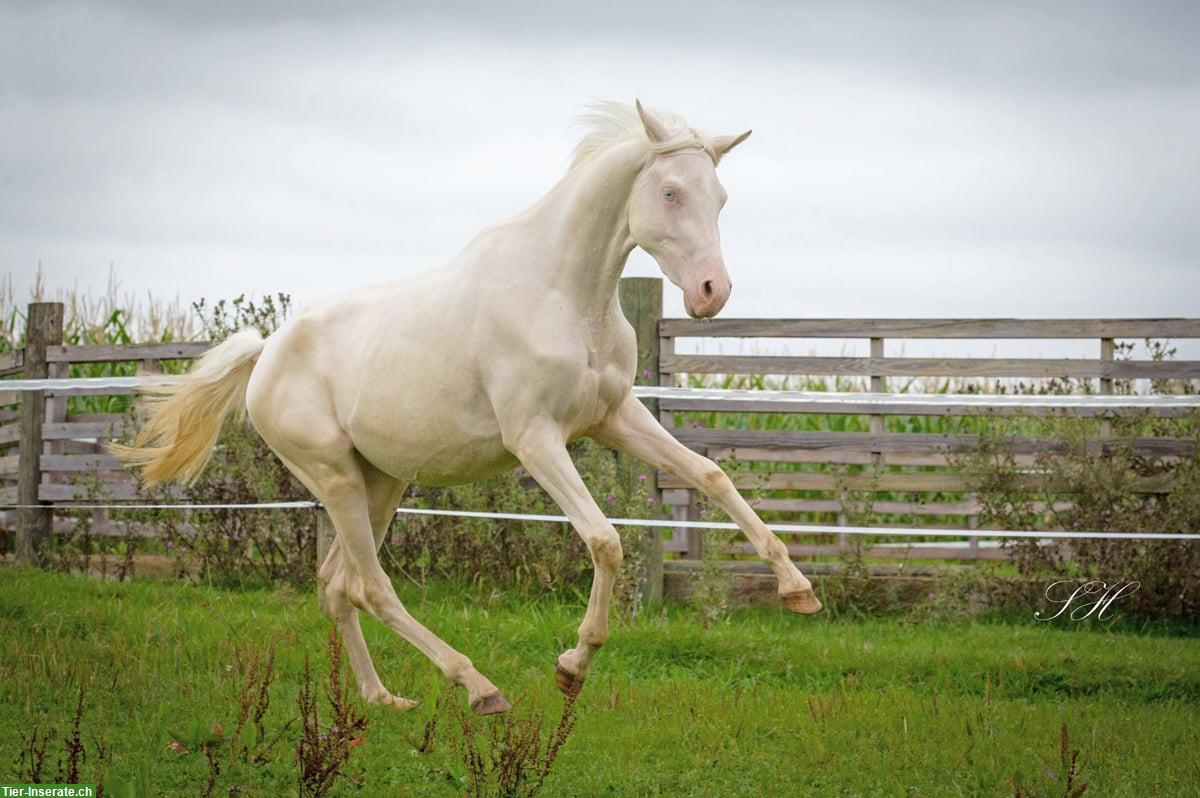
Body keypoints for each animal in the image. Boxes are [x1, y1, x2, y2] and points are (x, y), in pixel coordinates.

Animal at [112, 101, 820, 715]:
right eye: (670, 192)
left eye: (720, 198)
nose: (711, 292)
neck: (564, 294)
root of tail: (267, 353)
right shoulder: (535, 439)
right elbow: (605, 539)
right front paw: (572, 666)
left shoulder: (615, 417)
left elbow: (710, 474)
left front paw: (798, 590)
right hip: (333, 477)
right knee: (370, 585)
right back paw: (478, 688)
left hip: (380, 480)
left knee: (339, 585)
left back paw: (383, 700)